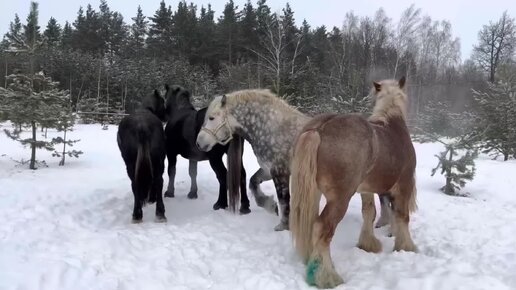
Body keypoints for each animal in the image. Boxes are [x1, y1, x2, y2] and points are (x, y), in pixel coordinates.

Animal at [117, 89, 166, 223]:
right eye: (163, 101)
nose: (166, 116)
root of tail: (141, 126)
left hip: (132, 163)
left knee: (137, 183)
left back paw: (139, 213)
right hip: (156, 161)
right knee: (156, 181)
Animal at [161, 85, 250, 214]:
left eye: (164, 96)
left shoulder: (171, 153)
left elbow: (171, 171)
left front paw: (169, 192)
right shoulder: (192, 157)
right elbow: (192, 173)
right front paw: (193, 193)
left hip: (215, 158)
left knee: (222, 176)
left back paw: (220, 203)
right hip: (237, 155)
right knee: (242, 174)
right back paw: (245, 206)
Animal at [290, 77, 420, 288]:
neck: (393, 125)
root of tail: (319, 128)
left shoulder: (366, 190)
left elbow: (369, 213)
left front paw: (368, 244)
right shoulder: (404, 186)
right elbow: (402, 217)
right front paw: (406, 246)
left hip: (314, 193)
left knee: (310, 224)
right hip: (339, 199)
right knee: (322, 229)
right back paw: (327, 276)